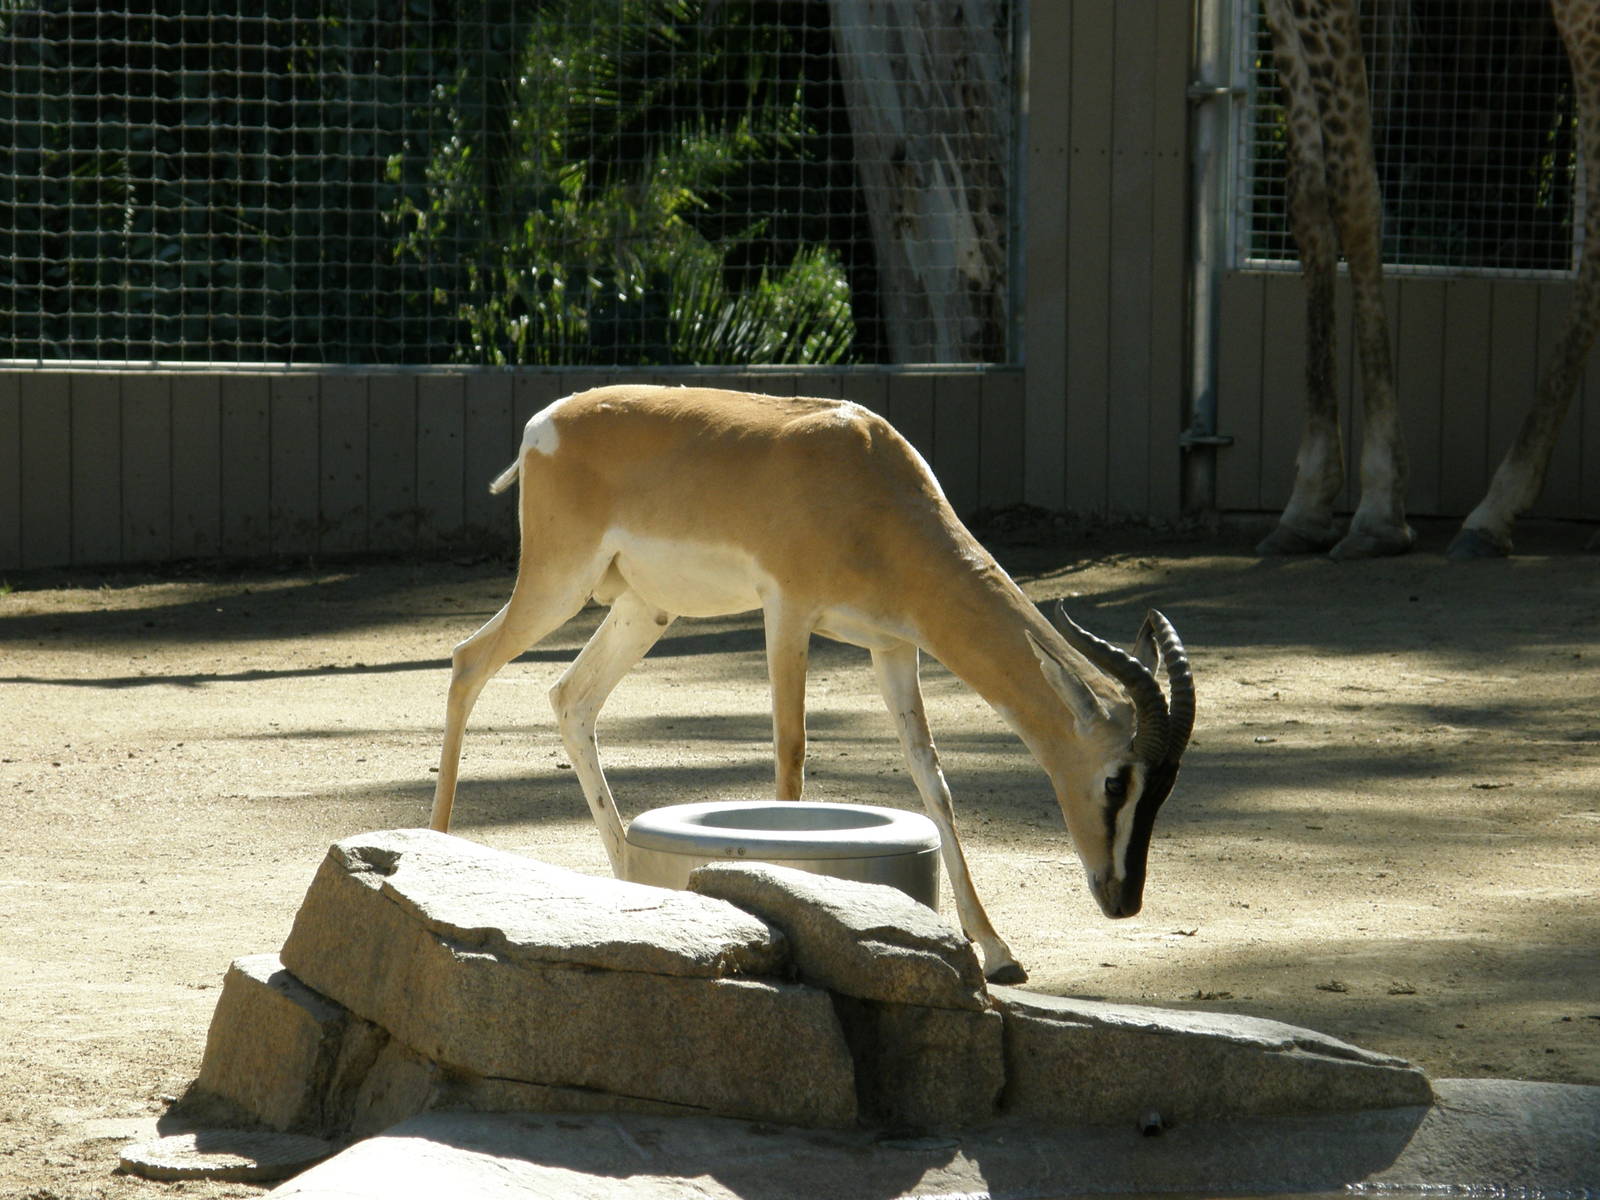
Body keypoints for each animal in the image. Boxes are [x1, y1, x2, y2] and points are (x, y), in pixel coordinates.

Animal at [430, 385, 1195, 983]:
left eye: (1164, 787)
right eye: (1116, 781)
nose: (1123, 899)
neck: (868, 480)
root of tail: (545, 424)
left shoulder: (894, 648)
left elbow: (934, 782)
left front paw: (999, 950)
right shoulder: (788, 613)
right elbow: (791, 763)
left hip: (643, 607)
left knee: (571, 697)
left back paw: (625, 874)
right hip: (560, 581)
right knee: (469, 661)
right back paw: (434, 851)